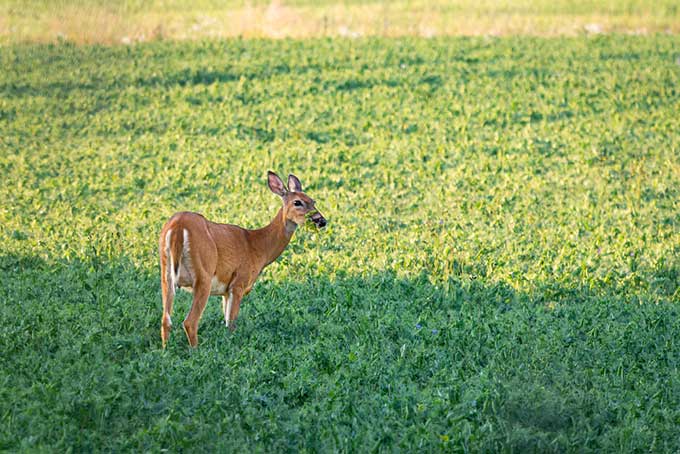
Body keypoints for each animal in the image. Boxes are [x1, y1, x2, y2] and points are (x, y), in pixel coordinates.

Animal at [161, 170, 328, 348]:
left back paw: (165, 350)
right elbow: (231, 323)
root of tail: (178, 227)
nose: (321, 221)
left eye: (313, 201)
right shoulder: (239, 282)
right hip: (203, 273)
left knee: (165, 319)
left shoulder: (225, 290)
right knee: (190, 322)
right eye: (297, 202)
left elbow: (226, 319)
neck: (257, 247)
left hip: (166, 272)